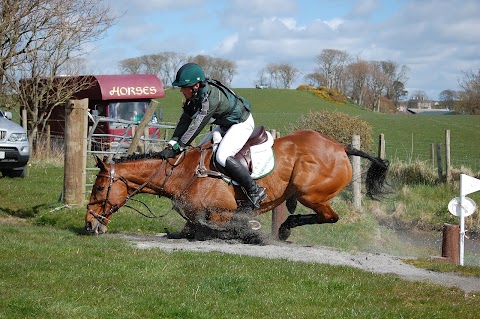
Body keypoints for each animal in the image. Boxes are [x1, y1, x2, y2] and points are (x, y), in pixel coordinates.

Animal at [84, 129, 388, 241]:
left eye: (98, 188)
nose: (88, 224)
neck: (183, 173)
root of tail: (341, 147)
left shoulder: (221, 212)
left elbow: (215, 227)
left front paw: (248, 231)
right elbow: (188, 230)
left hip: (310, 193)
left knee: (329, 217)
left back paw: (285, 229)